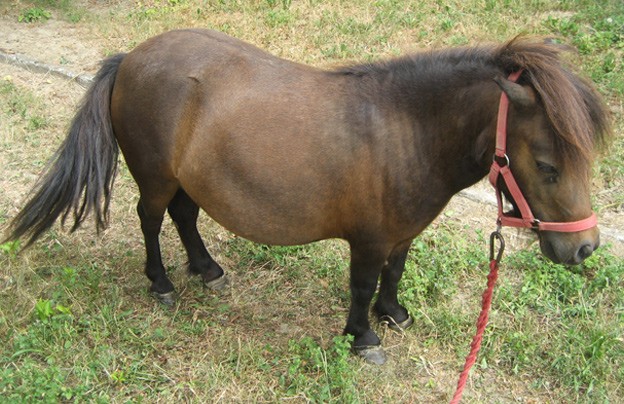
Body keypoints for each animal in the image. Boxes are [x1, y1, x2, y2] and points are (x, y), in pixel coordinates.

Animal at [4, 29, 611, 364]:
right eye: (548, 165)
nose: (585, 249)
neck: (408, 131)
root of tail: (130, 57)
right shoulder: (368, 239)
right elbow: (363, 285)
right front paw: (363, 337)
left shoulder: (400, 235)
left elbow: (394, 274)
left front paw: (394, 313)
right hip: (153, 177)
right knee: (151, 220)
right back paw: (162, 283)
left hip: (188, 179)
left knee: (184, 216)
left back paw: (207, 269)